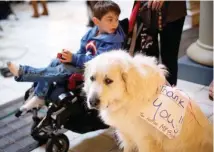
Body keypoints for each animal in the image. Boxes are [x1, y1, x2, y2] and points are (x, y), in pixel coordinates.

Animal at [83, 50, 212, 152]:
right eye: (92, 78)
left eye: (108, 81)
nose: (92, 102)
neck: (128, 99)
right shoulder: (127, 135)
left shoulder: (144, 141)